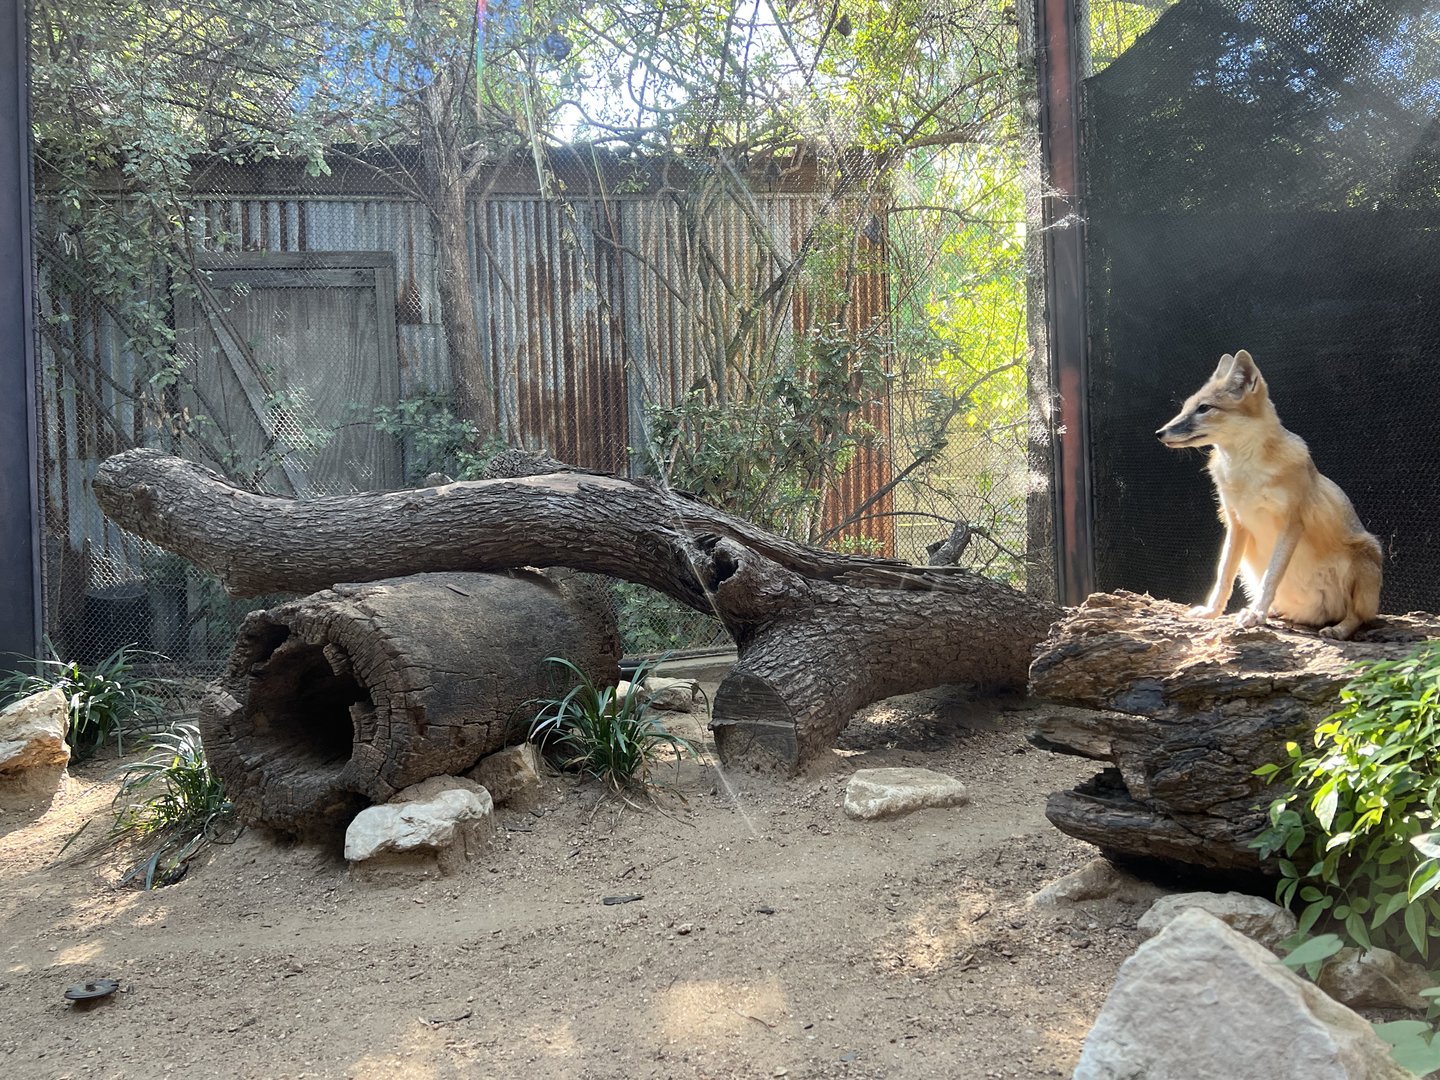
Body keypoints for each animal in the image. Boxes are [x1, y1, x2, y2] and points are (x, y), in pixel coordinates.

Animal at [1155, 349, 1382, 641]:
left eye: (1204, 408)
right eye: (1185, 407)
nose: (1159, 433)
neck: (1244, 471)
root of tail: (1317, 614)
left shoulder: (1291, 523)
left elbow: (1272, 576)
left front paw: (1256, 613)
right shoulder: (1236, 524)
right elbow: (1223, 575)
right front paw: (1212, 612)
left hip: (1364, 555)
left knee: (1359, 616)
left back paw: (1338, 628)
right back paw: (1276, 611)